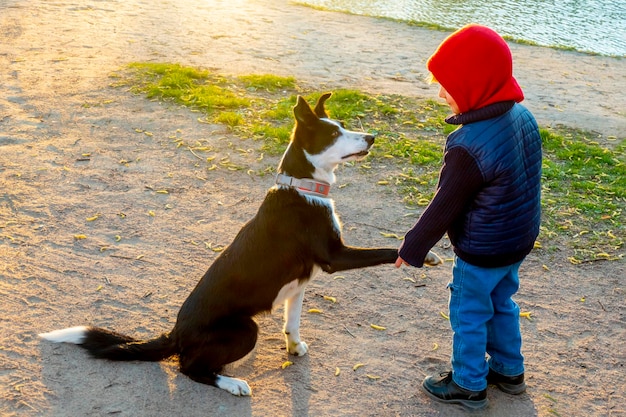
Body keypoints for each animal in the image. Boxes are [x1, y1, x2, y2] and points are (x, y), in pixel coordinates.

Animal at [40, 92, 438, 394]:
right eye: (333, 133)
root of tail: (175, 333)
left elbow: (293, 322)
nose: (371, 137)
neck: (303, 187)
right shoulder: (335, 257)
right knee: (188, 367)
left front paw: (294, 347)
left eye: (344, 126)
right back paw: (230, 384)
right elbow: (384, 250)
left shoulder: (300, 284)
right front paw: (422, 254)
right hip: (246, 329)